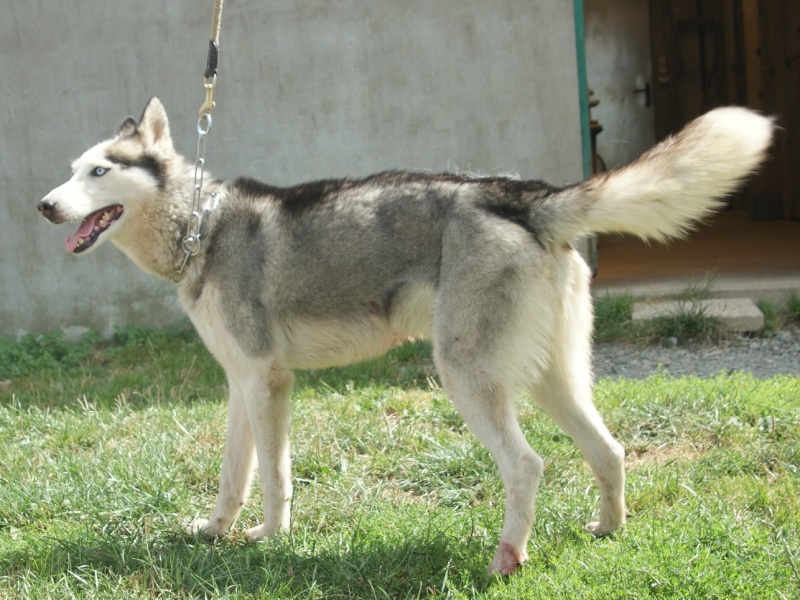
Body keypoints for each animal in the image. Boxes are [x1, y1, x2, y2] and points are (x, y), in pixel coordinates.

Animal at [40, 99, 772, 576]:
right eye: (71, 169)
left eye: (100, 172)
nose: (45, 205)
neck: (202, 227)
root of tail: (522, 195)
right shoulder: (240, 384)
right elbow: (233, 476)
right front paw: (216, 532)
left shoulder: (268, 382)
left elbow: (274, 479)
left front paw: (270, 539)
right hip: (551, 381)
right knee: (611, 452)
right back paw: (606, 530)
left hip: (466, 377)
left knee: (527, 466)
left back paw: (507, 560)